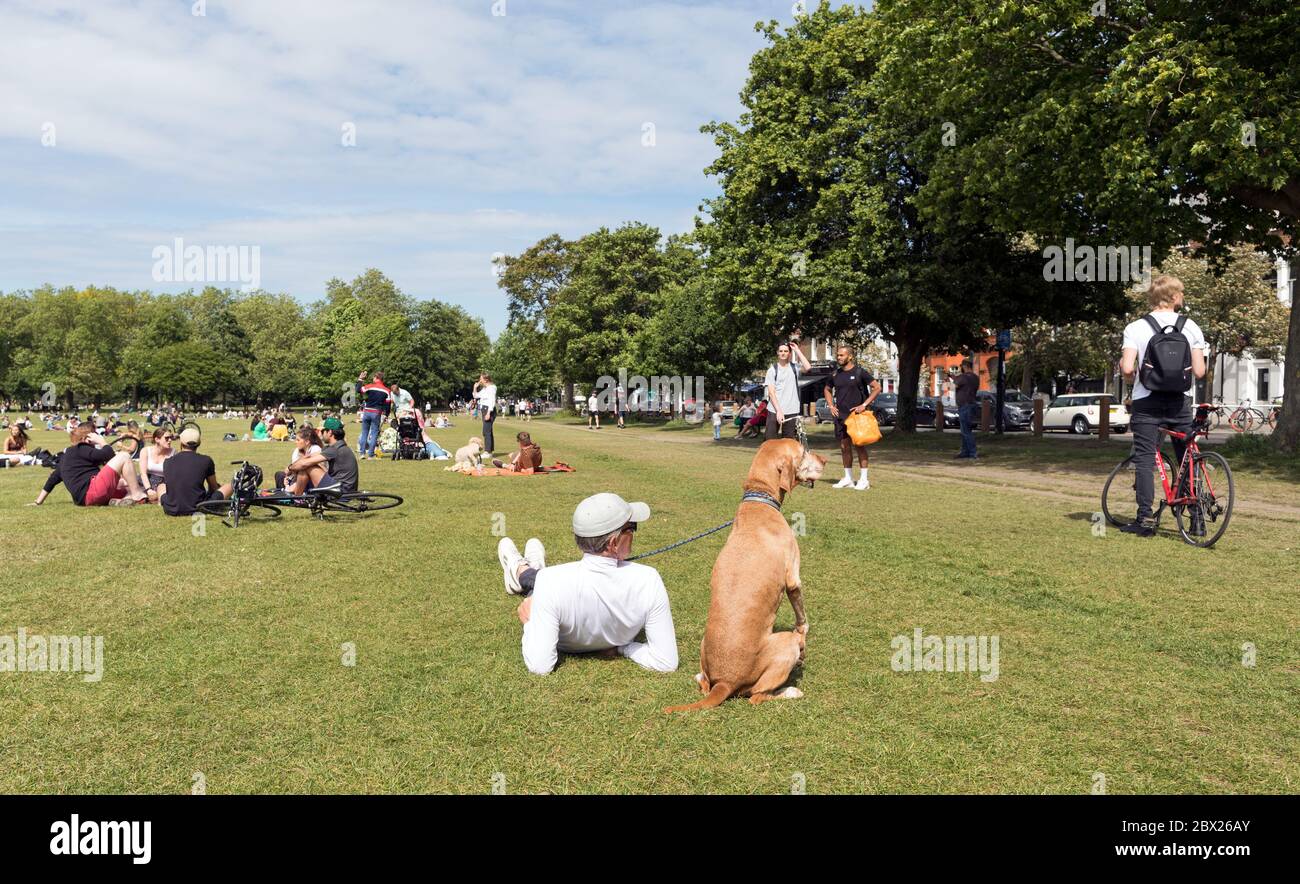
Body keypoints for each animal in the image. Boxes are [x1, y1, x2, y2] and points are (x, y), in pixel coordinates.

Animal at [670, 439, 821, 712]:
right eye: (803, 451)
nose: (824, 461)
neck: (758, 499)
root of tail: (724, 682)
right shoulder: (793, 578)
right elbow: (802, 618)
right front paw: (805, 633)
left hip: (703, 648)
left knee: (703, 682)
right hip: (784, 646)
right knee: (757, 696)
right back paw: (791, 690)